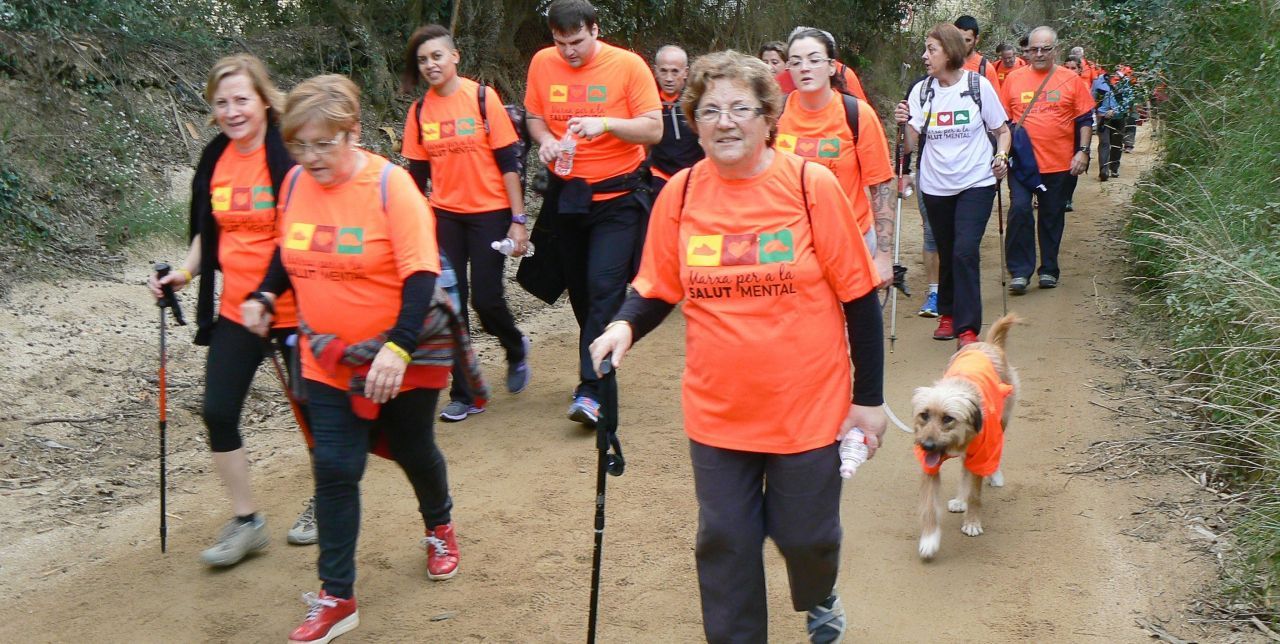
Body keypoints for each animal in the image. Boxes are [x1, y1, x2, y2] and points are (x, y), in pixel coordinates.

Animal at [911, 314, 1018, 563]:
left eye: (948, 418)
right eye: (924, 415)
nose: (927, 446)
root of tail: (988, 344)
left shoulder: (981, 453)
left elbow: (975, 494)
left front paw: (972, 523)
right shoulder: (930, 466)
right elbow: (929, 506)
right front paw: (929, 539)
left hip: (1002, 423)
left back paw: (994, 475)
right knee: (963, 471)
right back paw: (960, 499)